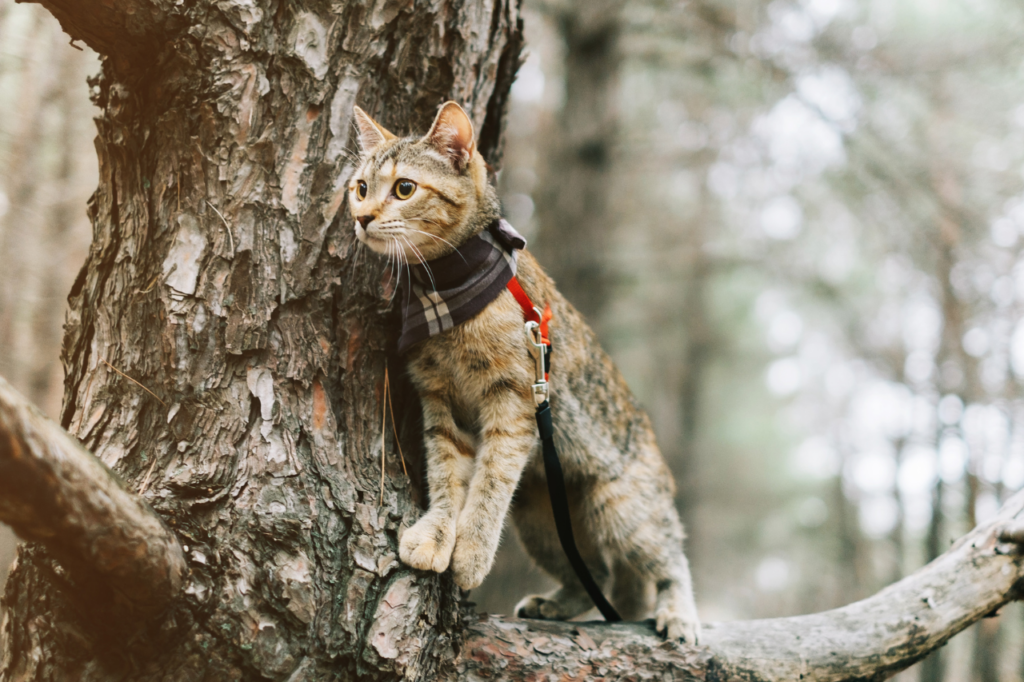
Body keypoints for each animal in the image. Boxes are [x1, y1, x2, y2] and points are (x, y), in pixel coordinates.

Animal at [348, 102, 700, 643]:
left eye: (404, 188)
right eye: (361, 187)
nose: (362, 217)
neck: (444, 290)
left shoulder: (513, 402)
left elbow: (490, 484)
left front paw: (471, 550)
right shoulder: (440, 400)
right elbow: (446, 474)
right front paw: (438, 530)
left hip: (623, 509)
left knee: (667, 558)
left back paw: (679, 612)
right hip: (542, 519)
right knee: (595, 573)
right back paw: (555, 603)